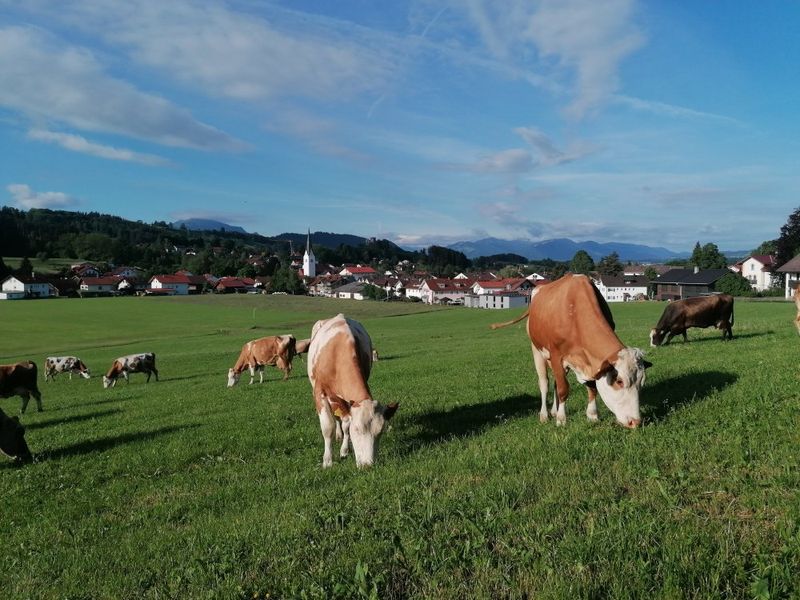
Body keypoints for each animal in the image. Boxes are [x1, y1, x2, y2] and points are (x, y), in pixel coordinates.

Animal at [308, 314, 398, 467]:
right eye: (356, 429)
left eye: (380, 432)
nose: (368, 465)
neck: (337, 353)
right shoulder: (319, 391)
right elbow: (328, 427)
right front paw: (327, 460)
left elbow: (346, 424)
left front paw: (344, 450)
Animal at [492, 275, 651, 428]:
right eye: (619, 381)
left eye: (642, 382)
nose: (635, 422)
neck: (574, 312)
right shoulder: (557, 356)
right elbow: (563, 389)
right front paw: (562, 419)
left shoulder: (590, 362)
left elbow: (591, 387)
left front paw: (592, 415)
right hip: (537, 350)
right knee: (544, 383)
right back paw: (544, 415)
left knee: (555, 382)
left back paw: (554, 411)